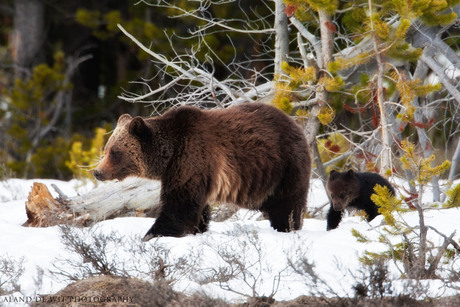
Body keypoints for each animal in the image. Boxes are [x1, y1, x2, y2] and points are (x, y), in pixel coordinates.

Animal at [93, 103, 310, 241]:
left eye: (114, 152)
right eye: (106, 149)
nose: (97, 172)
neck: (168, 154)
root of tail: (295, 124)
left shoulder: (191, 158)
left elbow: (179, 206)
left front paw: (152, 235)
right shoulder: (198, 172)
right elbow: (196, 208)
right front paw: (198, 229)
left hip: (284, 166)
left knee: (287, 205)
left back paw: (286, 226)